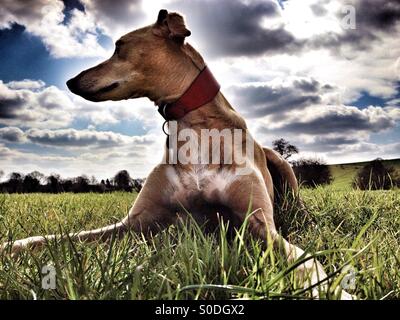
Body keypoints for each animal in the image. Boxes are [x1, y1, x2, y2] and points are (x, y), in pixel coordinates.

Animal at [0, 10, 350, 300]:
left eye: (119, 46)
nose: (71, 81)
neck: (197, 127)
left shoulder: (259, 224)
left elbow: (303, 261)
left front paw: (331, 287)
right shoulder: (133, 225)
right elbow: (56, 239)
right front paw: (11, 246)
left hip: (281, 166)